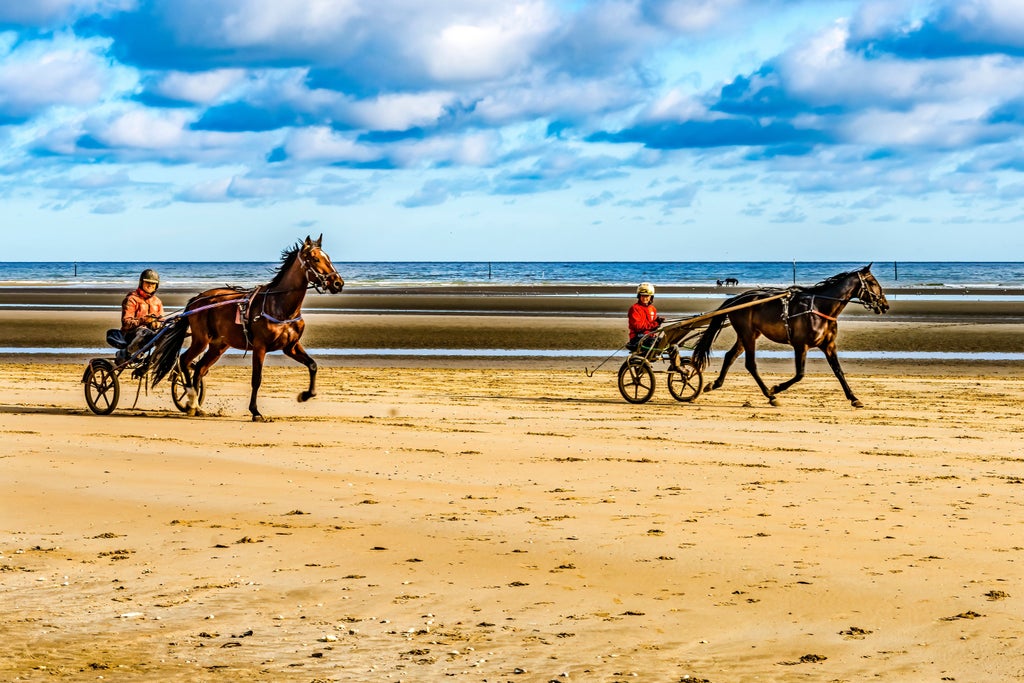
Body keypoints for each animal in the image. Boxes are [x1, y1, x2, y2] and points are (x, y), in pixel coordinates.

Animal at [150, 236, 344, 421]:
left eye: (328, 257)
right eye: (315, 259)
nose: (338, 283)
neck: (279, 305)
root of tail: (197, 299)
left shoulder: (291, 347)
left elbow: (312, 365)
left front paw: (305, 395)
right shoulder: (260, 347)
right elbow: (256, 379)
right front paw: (255, 411)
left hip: (218, 346)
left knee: (199, 369)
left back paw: (196, 405)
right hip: (201, 340)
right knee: (184, 361)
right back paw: (191, 397)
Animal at [692, 266, 892, 405]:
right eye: (873, 282)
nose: (885, 304)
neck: (819, 307)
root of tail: (735, 300)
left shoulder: (828, 345)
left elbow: (838, 371)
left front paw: (854, 398)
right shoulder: (800, 345)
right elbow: (800, 374)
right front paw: (776, 388)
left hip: (748, 334)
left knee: (730, 356)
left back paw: (714, 384)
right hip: (747, 334)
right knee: (751, 364)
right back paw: (770, 395)